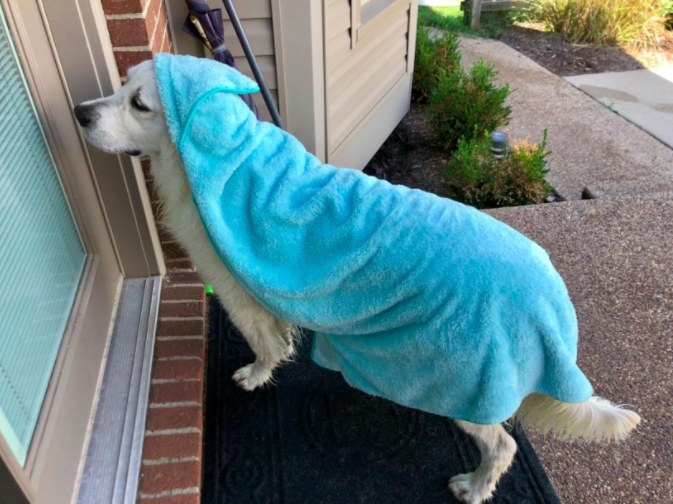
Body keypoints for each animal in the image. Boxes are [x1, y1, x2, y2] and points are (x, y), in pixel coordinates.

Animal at [75, 60, 640, 504]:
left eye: (140, 104)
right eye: (120, 86)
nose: (80, 112)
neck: (229, 168)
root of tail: (550, 293)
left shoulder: (240, 296)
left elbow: (263, 345)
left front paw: (256, 376)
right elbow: (281, 338)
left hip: (471, 372)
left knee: (504, 445)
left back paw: (475, 487)